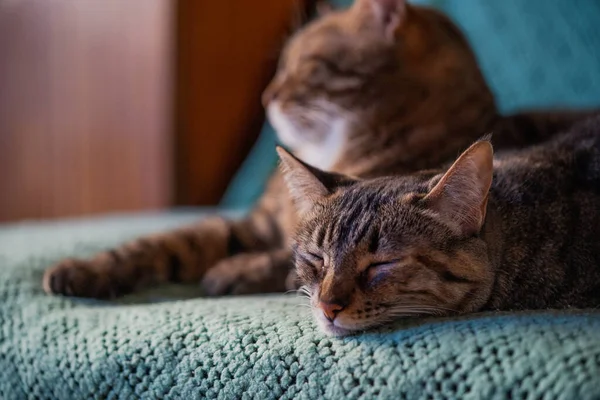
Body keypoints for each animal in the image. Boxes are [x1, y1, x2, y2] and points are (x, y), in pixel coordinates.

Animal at [43, 0, 596, 300]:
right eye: (278, 65)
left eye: (305, 65)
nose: (266, 96)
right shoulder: (252, 224)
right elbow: (161, 244)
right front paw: (83, 270)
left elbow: (288, 259)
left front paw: (231, 273)